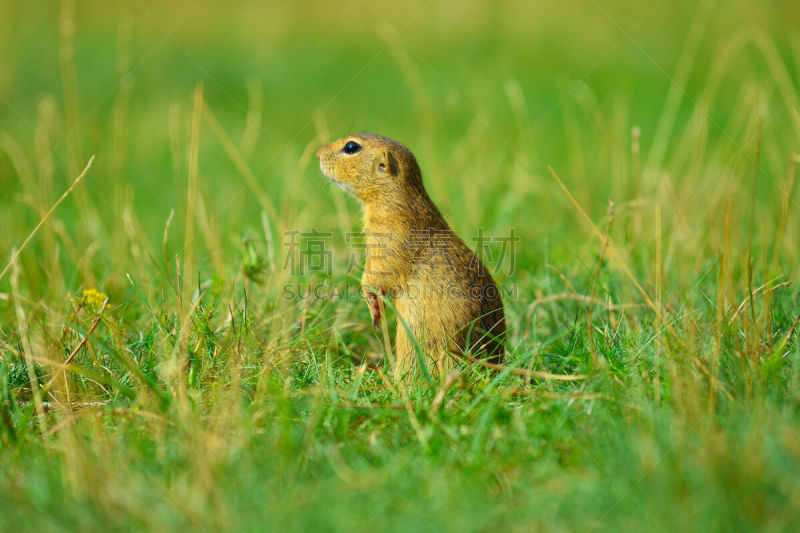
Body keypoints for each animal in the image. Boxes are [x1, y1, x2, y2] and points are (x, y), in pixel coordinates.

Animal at [316, 133, 504, 374]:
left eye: (351, 147)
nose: (318, 153)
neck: (394, 198)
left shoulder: (386, 239)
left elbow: (374, 275)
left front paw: (373, 306)